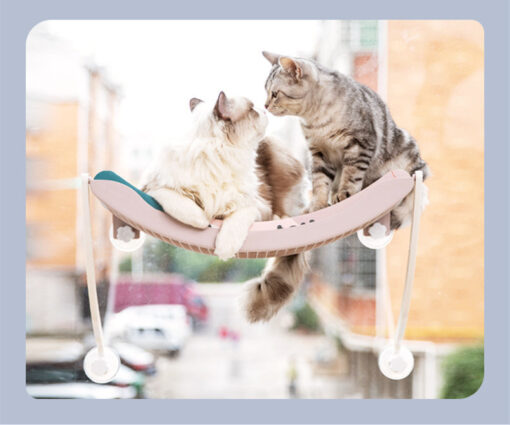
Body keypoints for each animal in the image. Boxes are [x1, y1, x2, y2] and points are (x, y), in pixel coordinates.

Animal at [260, 51, 428, 229]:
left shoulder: (360, 143)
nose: (265, 105)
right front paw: (317, 205)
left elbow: (352, 174)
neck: (315, 119)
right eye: (267, 92)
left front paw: (345, 193)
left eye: (275, 94)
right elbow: (320, 181)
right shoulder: (319, 152)